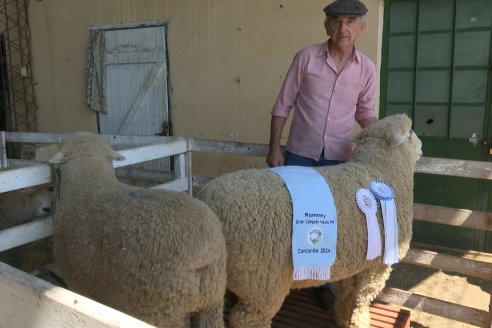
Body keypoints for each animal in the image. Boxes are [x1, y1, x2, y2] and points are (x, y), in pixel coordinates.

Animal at [198, 114, 420, 326]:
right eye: (410, 132)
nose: (421, 145)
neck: (382, 169)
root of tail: (208, 202)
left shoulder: (358, 261)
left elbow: (348, 296)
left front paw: (343, 318)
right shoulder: (377, 264)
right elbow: (361, 300)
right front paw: (358, 322)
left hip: (223, 279)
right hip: (261, 279)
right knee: (247, 319)